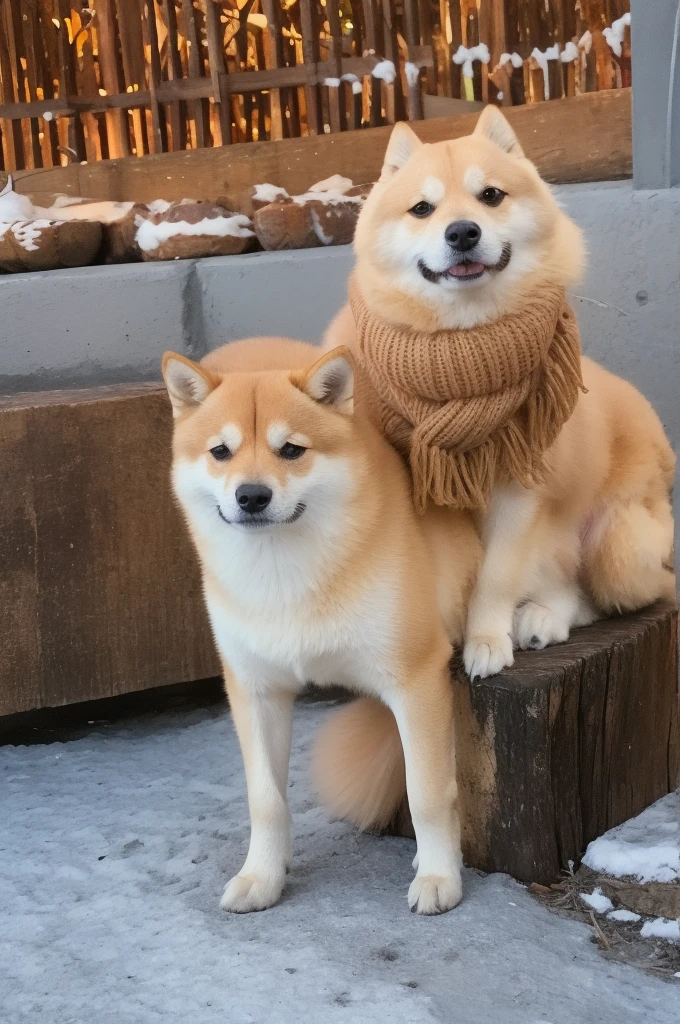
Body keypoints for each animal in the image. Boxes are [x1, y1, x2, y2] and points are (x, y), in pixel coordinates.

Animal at [160, 339, 477, 917]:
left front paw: (440, 875)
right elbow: (265, 800)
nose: (252, 496)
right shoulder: (255, 691)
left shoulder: (416, 678)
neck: (283, 574)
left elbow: (426, 791)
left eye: (291, 450)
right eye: (221, 452)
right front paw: (262, 875)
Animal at [325, 103, 675, 684]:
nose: (462, 232)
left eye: (490, 195)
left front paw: (485, 639)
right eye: (422, 209)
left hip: (616, 549)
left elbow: (494, 578)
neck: (461, 354)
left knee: (596, 596)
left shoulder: (518, 496)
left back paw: (542, 619)